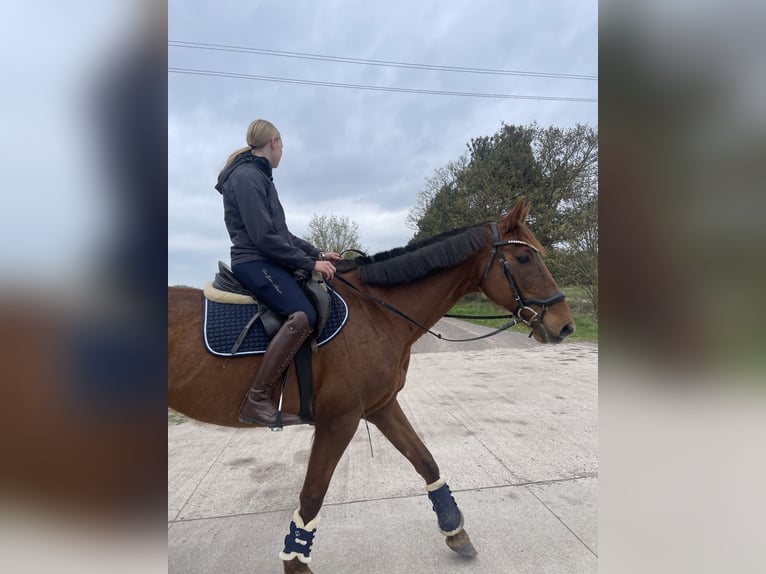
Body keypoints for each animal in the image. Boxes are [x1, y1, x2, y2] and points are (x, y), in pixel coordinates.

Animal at [170, 199, 576, 574]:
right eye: (523, 258)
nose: (565, 325)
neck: (376, 312)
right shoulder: (340, 420)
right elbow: (312, 494)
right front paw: (296, 563)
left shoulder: (381, 406)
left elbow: (425, 461)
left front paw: (455, 531)